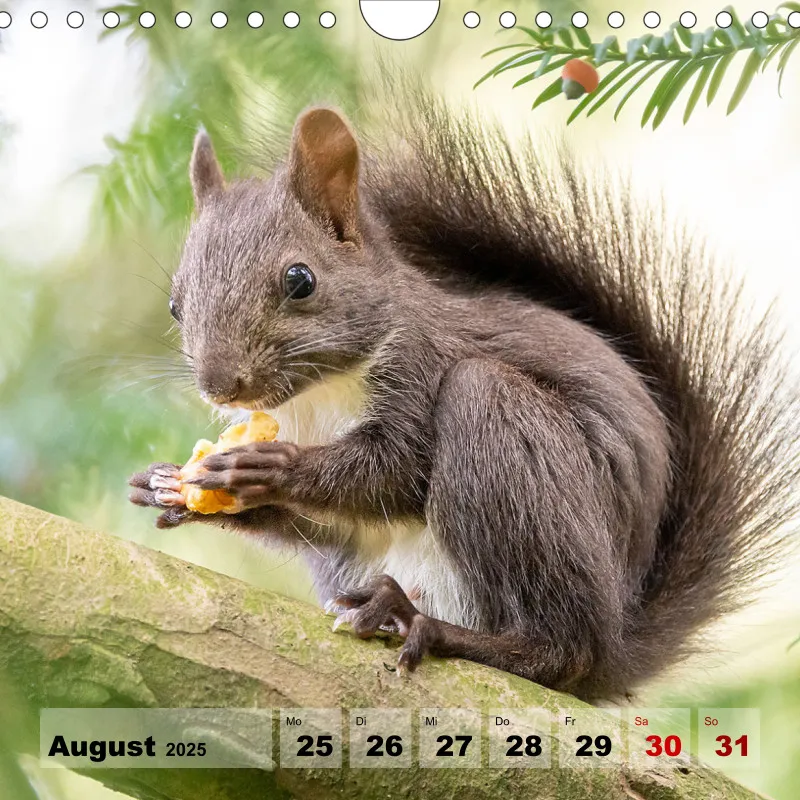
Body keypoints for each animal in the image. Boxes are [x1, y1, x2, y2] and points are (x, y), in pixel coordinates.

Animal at [128, 95, 800, 701]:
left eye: (300, 280)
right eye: (175, 304)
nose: (221, 385)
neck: (314, 400)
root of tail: (619, 643)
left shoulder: (420, 367)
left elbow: (393, 471)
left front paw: (271, 467)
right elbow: (314, 523)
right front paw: (167, 485)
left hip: (501, 431)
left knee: (563, 650)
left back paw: (425, 623)